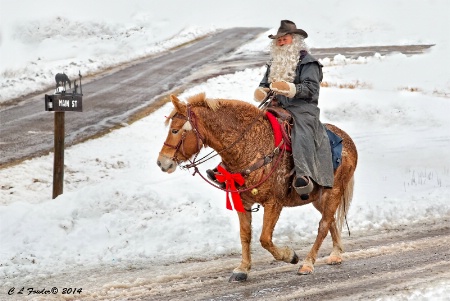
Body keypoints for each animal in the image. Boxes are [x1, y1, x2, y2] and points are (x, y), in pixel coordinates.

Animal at [157, 92, 358, 282]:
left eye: (175, 130)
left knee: (323, 225)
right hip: (318, 197)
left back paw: (308, 263)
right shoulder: (243, 202)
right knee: (330, 221)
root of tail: (347, 140)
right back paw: (336, 253)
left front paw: (290, 256)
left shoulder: (273, 203)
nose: (162, 162)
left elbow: (264, 239)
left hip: (334, 192)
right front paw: (242, 269)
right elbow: (245, 235)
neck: (250, 148)